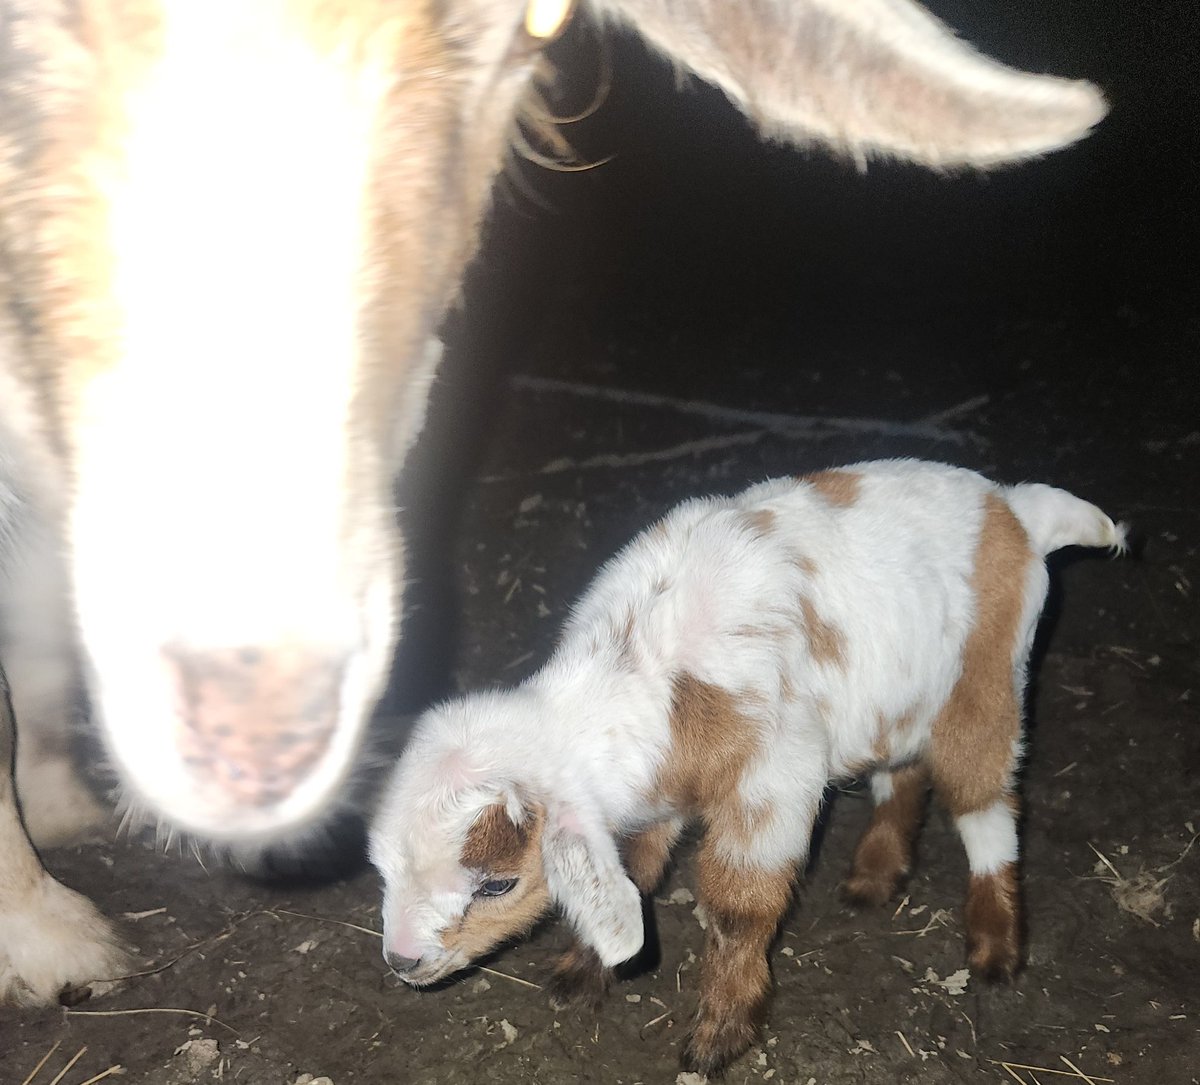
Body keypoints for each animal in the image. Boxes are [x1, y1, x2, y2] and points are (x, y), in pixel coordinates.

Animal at [0, 0, 1104, 1004]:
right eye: (384, 867)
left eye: (494, 880)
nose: (404, 962)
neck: (648, 678)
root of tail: (1019, 505)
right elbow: (641, 863)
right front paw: (584, 967)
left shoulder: (770, 782)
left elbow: (738, 901)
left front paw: (718, 1028)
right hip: (900, 690)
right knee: (901, 772)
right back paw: (875, 878)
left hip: (988, 679)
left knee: (985, 800)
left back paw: (994, 946)